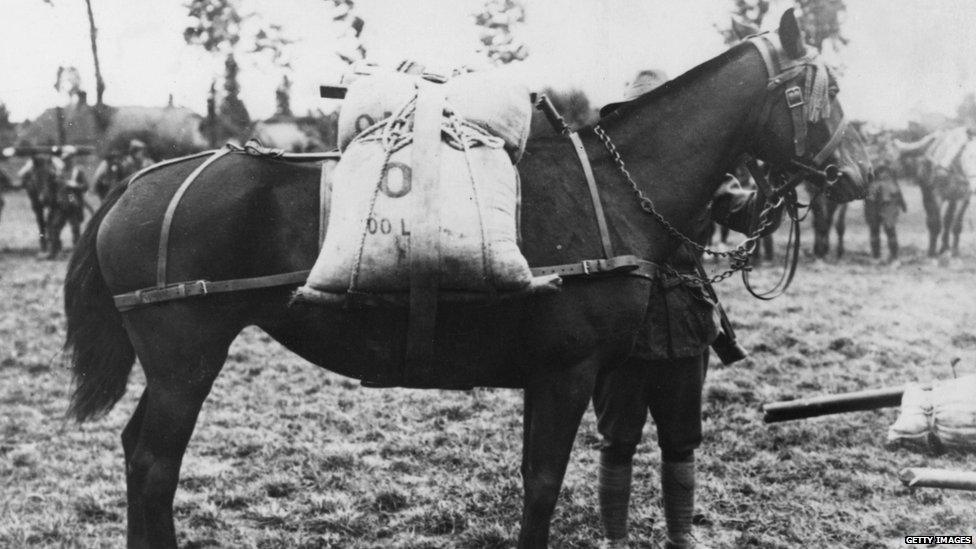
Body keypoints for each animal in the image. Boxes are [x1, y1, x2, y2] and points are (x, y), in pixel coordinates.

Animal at [63, 10, 868, 544]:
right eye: (826, 92)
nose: (859, 175)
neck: (615, 190)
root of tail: (136, 181)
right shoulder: (568, 370)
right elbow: (542, 487)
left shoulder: (559, 374)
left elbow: (543, 477)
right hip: (186, 360)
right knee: (153, 461)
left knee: (140, 454)